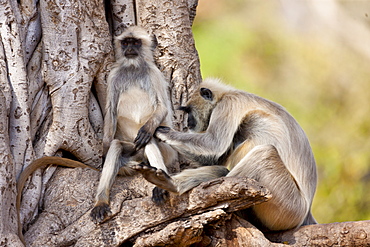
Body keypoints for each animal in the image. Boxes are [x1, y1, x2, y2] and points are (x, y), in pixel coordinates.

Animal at [89, 25, 177, 224]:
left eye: (136, 42)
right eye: (126, 43)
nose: (130, 49)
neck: (133, 68)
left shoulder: (153, 73)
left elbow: (162, 108)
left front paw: (147, 128)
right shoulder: (114, 75)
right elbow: (111, 113)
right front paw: (104, 151)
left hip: (168, 153)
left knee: (149, 138)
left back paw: (161, 183)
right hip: (133, 151)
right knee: (116, 145)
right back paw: (101, 202)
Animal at [133, 78, 318, 232]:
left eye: (189, 111)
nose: (188, 122)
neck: (226, 95)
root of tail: (306, 212)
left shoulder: (228, 104)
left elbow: (213, 143)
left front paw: (158, 131)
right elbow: (213, 157)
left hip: (289, 206)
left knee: (262, 154)